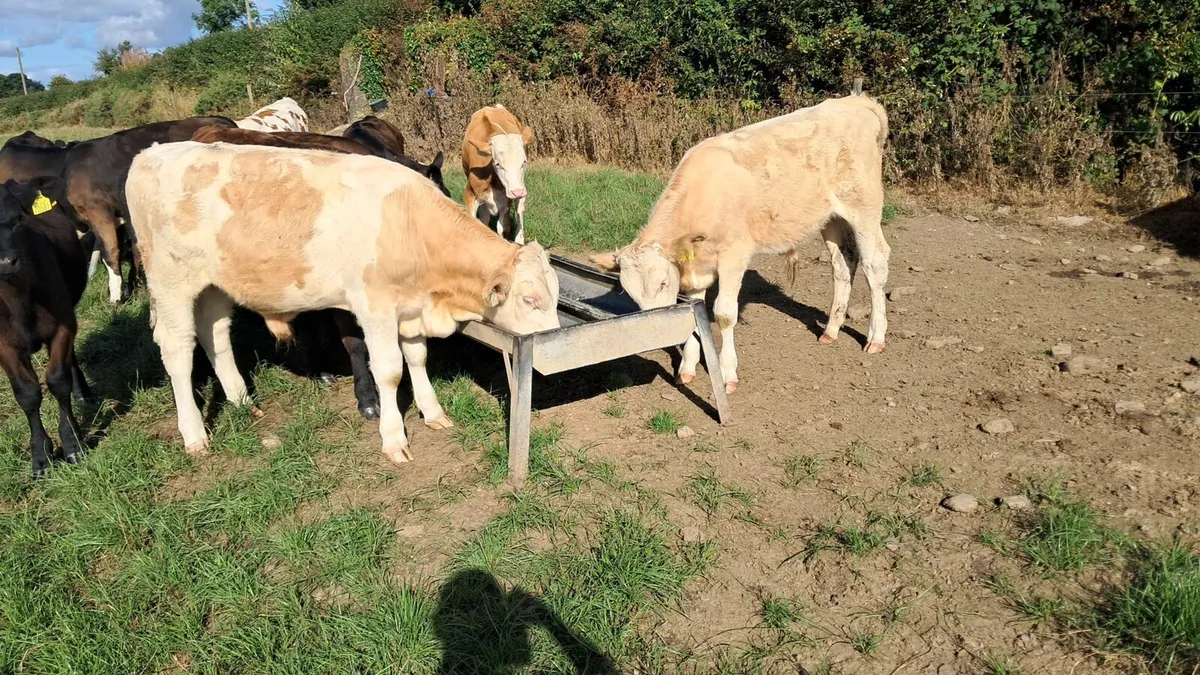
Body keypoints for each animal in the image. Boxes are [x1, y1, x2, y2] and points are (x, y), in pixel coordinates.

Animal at [0, 176, 93, 476]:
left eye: (18, 219)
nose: (6, 262)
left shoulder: (62, 326)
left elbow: (58, 381)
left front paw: (73, 444)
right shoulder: (5, 347)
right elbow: (27, 393)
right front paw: (40, 456)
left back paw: (82, 394)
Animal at [125, 142, 561, 464]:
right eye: (529, 299)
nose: (552, 344)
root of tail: (152, 152)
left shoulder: (412, 308)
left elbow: (417, 358)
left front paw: (433, 413)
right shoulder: (375, 308)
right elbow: (390, 371)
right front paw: (393, 439)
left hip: (215, 284)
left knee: (214, 334)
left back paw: (243, 401)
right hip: (170, 282)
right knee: (178, 349)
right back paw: (194, 434)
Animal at [462, 105, 534, 244]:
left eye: (524, 162)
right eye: (498, 164)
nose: (517, 192)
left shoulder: (506, 201)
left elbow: (503, 229)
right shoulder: (470, 194)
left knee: (520, 210)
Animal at [589, 94, 891, 393]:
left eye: (663, 283)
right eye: (630, 294)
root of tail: (857, 100)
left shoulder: (733, 257)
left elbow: (724, 314)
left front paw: (727, 374)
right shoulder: (697, 268)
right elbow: (695, 314)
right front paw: (687, 368)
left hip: (864, 207)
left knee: (874, 263)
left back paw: (876, 337)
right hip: (830, 217)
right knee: (843, 265)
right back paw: (831, 330)